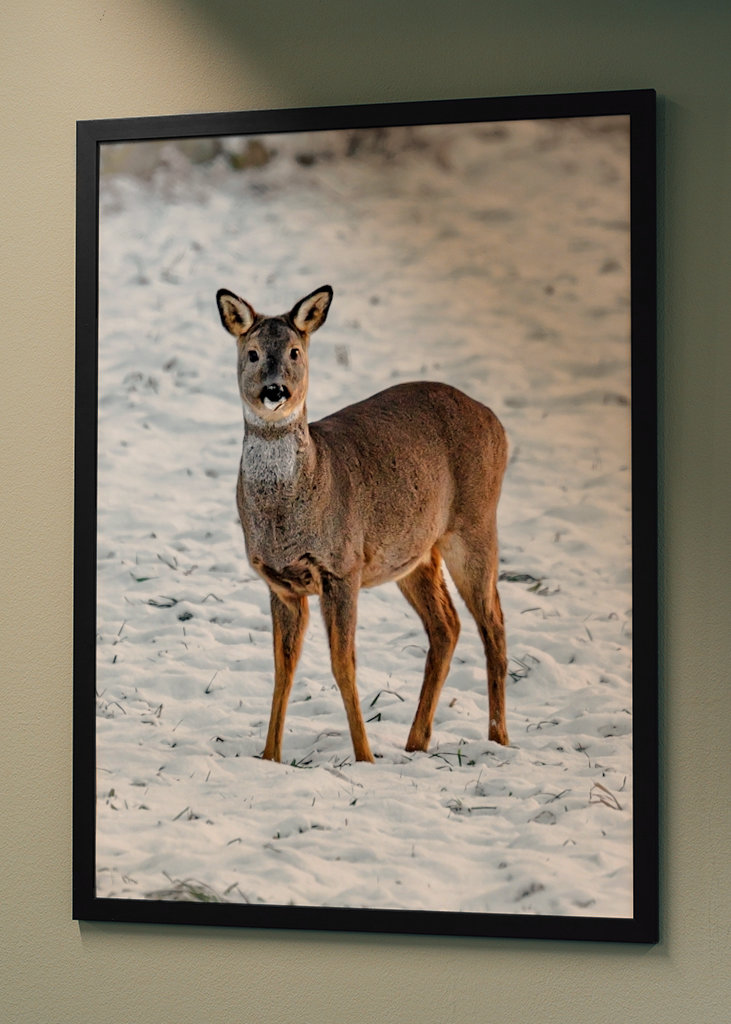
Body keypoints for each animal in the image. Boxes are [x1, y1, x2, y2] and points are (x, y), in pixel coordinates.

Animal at [216, 284, 509, 764]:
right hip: (413, 554)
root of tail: (496, 422)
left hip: (475, 524)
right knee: (447, 626)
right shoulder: (279, 581)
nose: (275, 391)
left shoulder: (342, 566)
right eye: (253, 353)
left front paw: (365, 757)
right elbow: (282, 667)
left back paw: (498, 738)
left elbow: (343, 663)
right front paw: (269, 756)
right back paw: (416, 741)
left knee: (494, 624)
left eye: (296, 351)